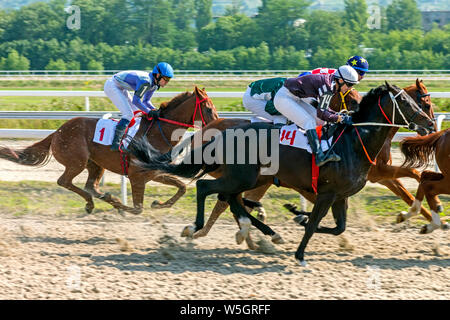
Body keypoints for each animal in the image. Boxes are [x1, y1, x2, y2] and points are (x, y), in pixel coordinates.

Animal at [0, 86, 218, 214]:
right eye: (208, 108)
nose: (217, 125)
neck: (158, 132)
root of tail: (58, 131)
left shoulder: (154, 172)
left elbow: (181, 188)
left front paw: (158, 204)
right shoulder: (137, 176)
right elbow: (137, 208)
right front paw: (123, 206)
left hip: (96, 165)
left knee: (91, 186)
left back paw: (98, 199)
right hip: (76, 161)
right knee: (65, 181)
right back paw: (95, 202)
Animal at [132, 82, 434, 264]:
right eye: (407, 102)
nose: (430, 124)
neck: (353, 142)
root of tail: (220, 132)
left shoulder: (340, 195)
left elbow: (338, 227)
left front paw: (297, 216)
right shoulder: (327, 193)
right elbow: (315, 224)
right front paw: (300, 252)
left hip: (247, 178)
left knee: (231, 199)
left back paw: (258, 232)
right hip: (241, 177)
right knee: (207, 188)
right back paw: (197, 228)